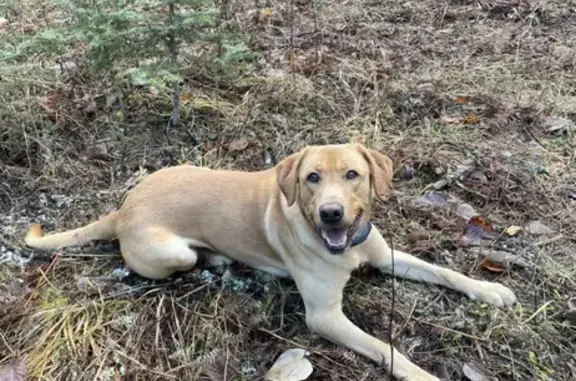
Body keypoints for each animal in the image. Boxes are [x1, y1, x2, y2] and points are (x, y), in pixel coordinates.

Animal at [24, 143, 516, 380]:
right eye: (311, 178)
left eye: (352, 175)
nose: (331, 213)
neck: (346, 248)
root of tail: (123, 208)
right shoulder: (324, 317)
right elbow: (385, 347)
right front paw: (420, 375)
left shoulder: (386, 256)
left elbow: (444, 271)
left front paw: (489, 289)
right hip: (173, 252)